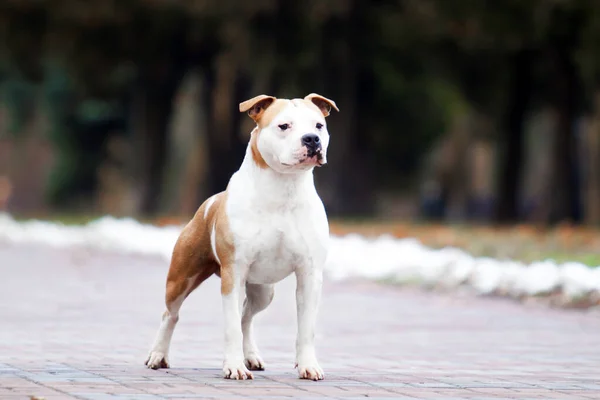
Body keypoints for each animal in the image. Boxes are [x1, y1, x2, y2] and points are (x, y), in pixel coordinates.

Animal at [143, 93, 336, 382]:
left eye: (318, 125)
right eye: (284, 126)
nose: (311, 139)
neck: (284, 189)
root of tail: (209, 202)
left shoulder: (310, 275)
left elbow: (306, 328)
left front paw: (308, 365)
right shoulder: (233, 273)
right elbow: (231, 325)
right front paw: (233, 366)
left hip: (264, 290)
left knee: (246, 316)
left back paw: (251, 357)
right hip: (181, 277)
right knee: (171, 314)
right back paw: (158, 356)